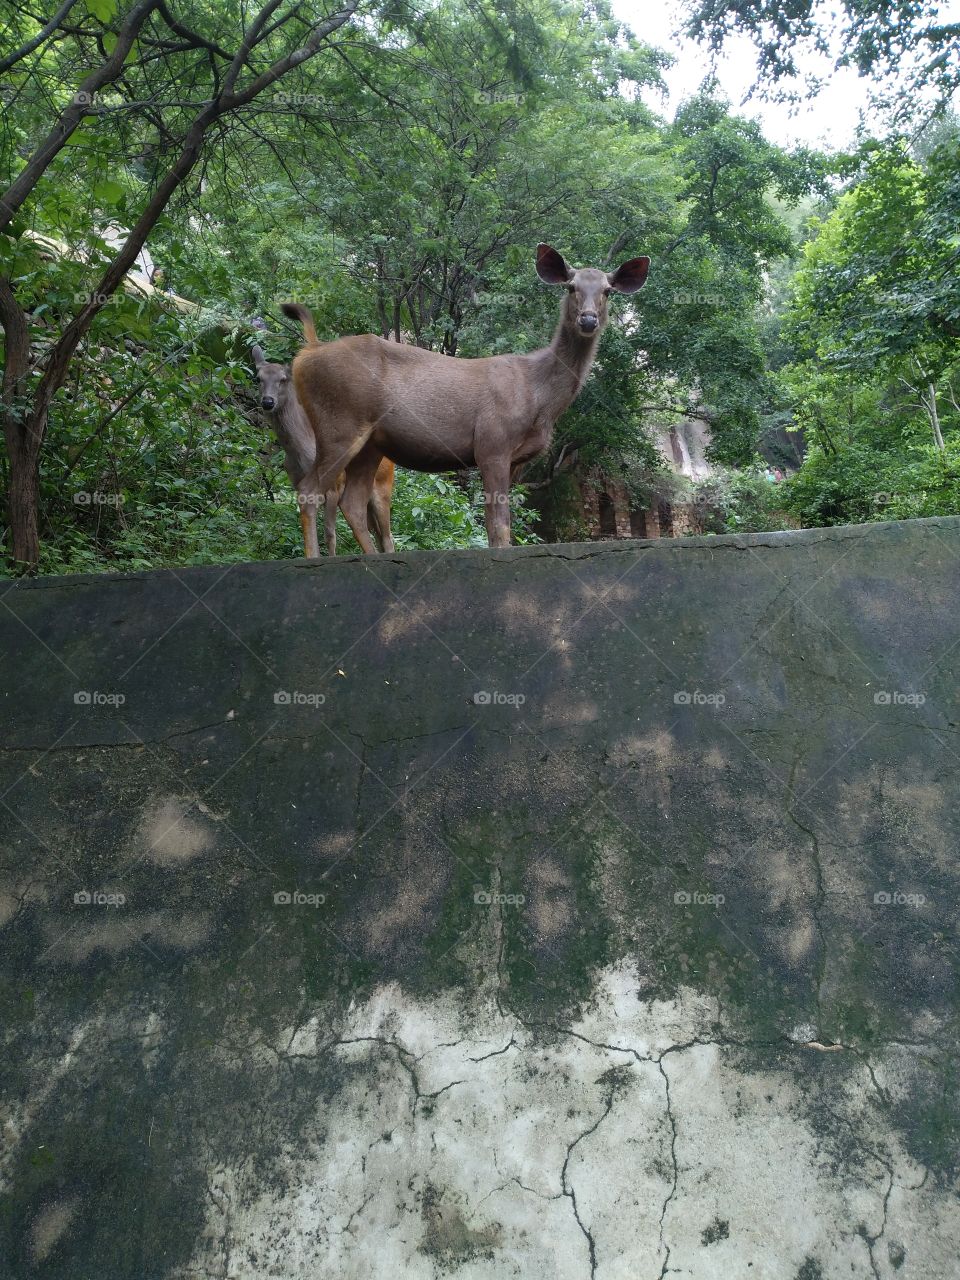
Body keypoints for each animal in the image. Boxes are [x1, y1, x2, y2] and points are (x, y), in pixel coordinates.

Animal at [251, 318, 395, 556]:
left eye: (283, 379)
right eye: (258, 379)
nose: (268, 402)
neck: (303, 453)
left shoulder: (335, 486)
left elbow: (330, 533)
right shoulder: (298, 484)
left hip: (383, 487)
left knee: (388, 536)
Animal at [284, 244, 649, 553]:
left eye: (607, 290)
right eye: (571, 287)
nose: (588, 319)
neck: (539, 397)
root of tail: (304, 356)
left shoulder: (515, 460)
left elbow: (496, 523)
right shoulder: (492, 442)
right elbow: (498, 525)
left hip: (371, 444)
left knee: (353, 503)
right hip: (339, 424)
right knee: (309, 490)